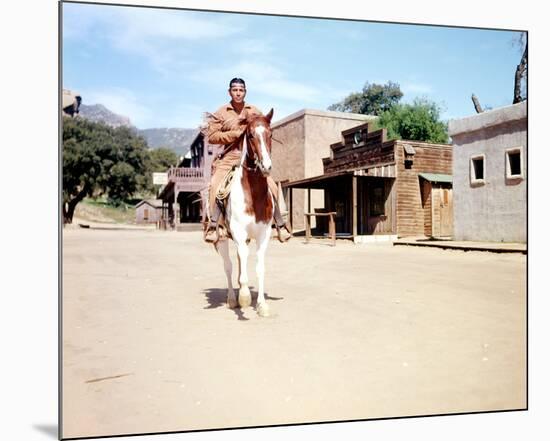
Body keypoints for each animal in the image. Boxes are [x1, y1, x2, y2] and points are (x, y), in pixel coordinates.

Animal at [215, 109, 276, 316]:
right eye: (250, 135)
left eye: (270, 134)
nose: (266, 166)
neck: (254, 197)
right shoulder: (239, 232)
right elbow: (239, 270)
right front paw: (244, 297)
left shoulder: (263, 234)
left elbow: (260, 268)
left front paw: (262, 305)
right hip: (222, 238)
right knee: (228, 266)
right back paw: (233, 299)